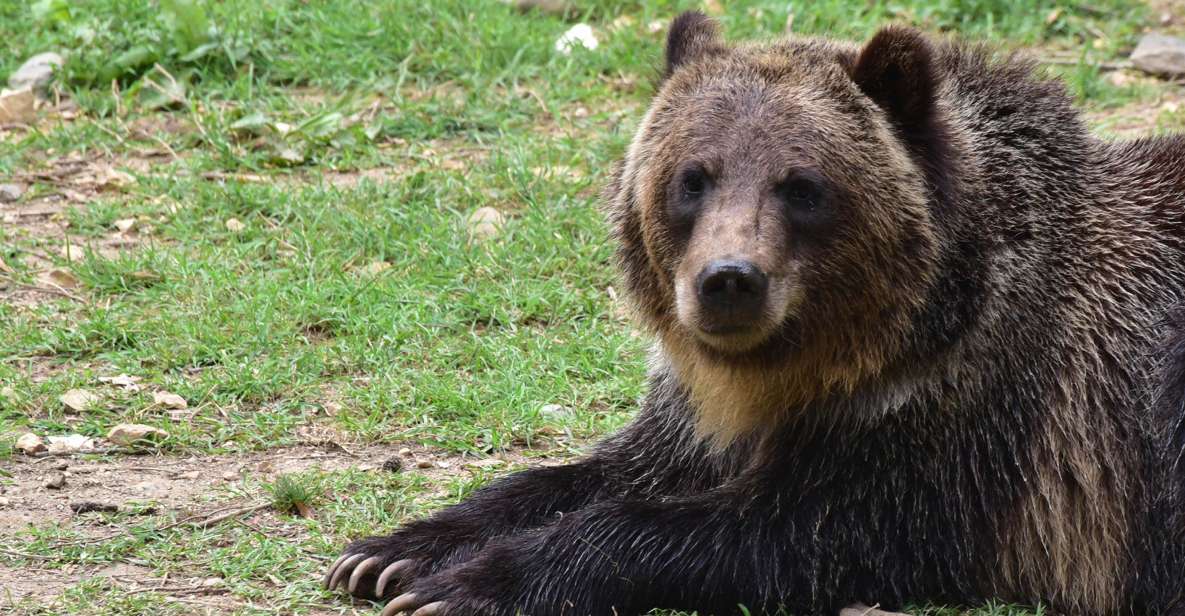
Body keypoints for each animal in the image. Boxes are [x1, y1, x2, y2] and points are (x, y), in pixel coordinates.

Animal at [325, 12, 1185, 616]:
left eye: (801, 185)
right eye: (692, 177)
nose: (728, 280)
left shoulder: (960, 428)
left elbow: (772, 529)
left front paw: (465, 585)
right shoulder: (698, 414)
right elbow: (590, 471)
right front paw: (391, 553)